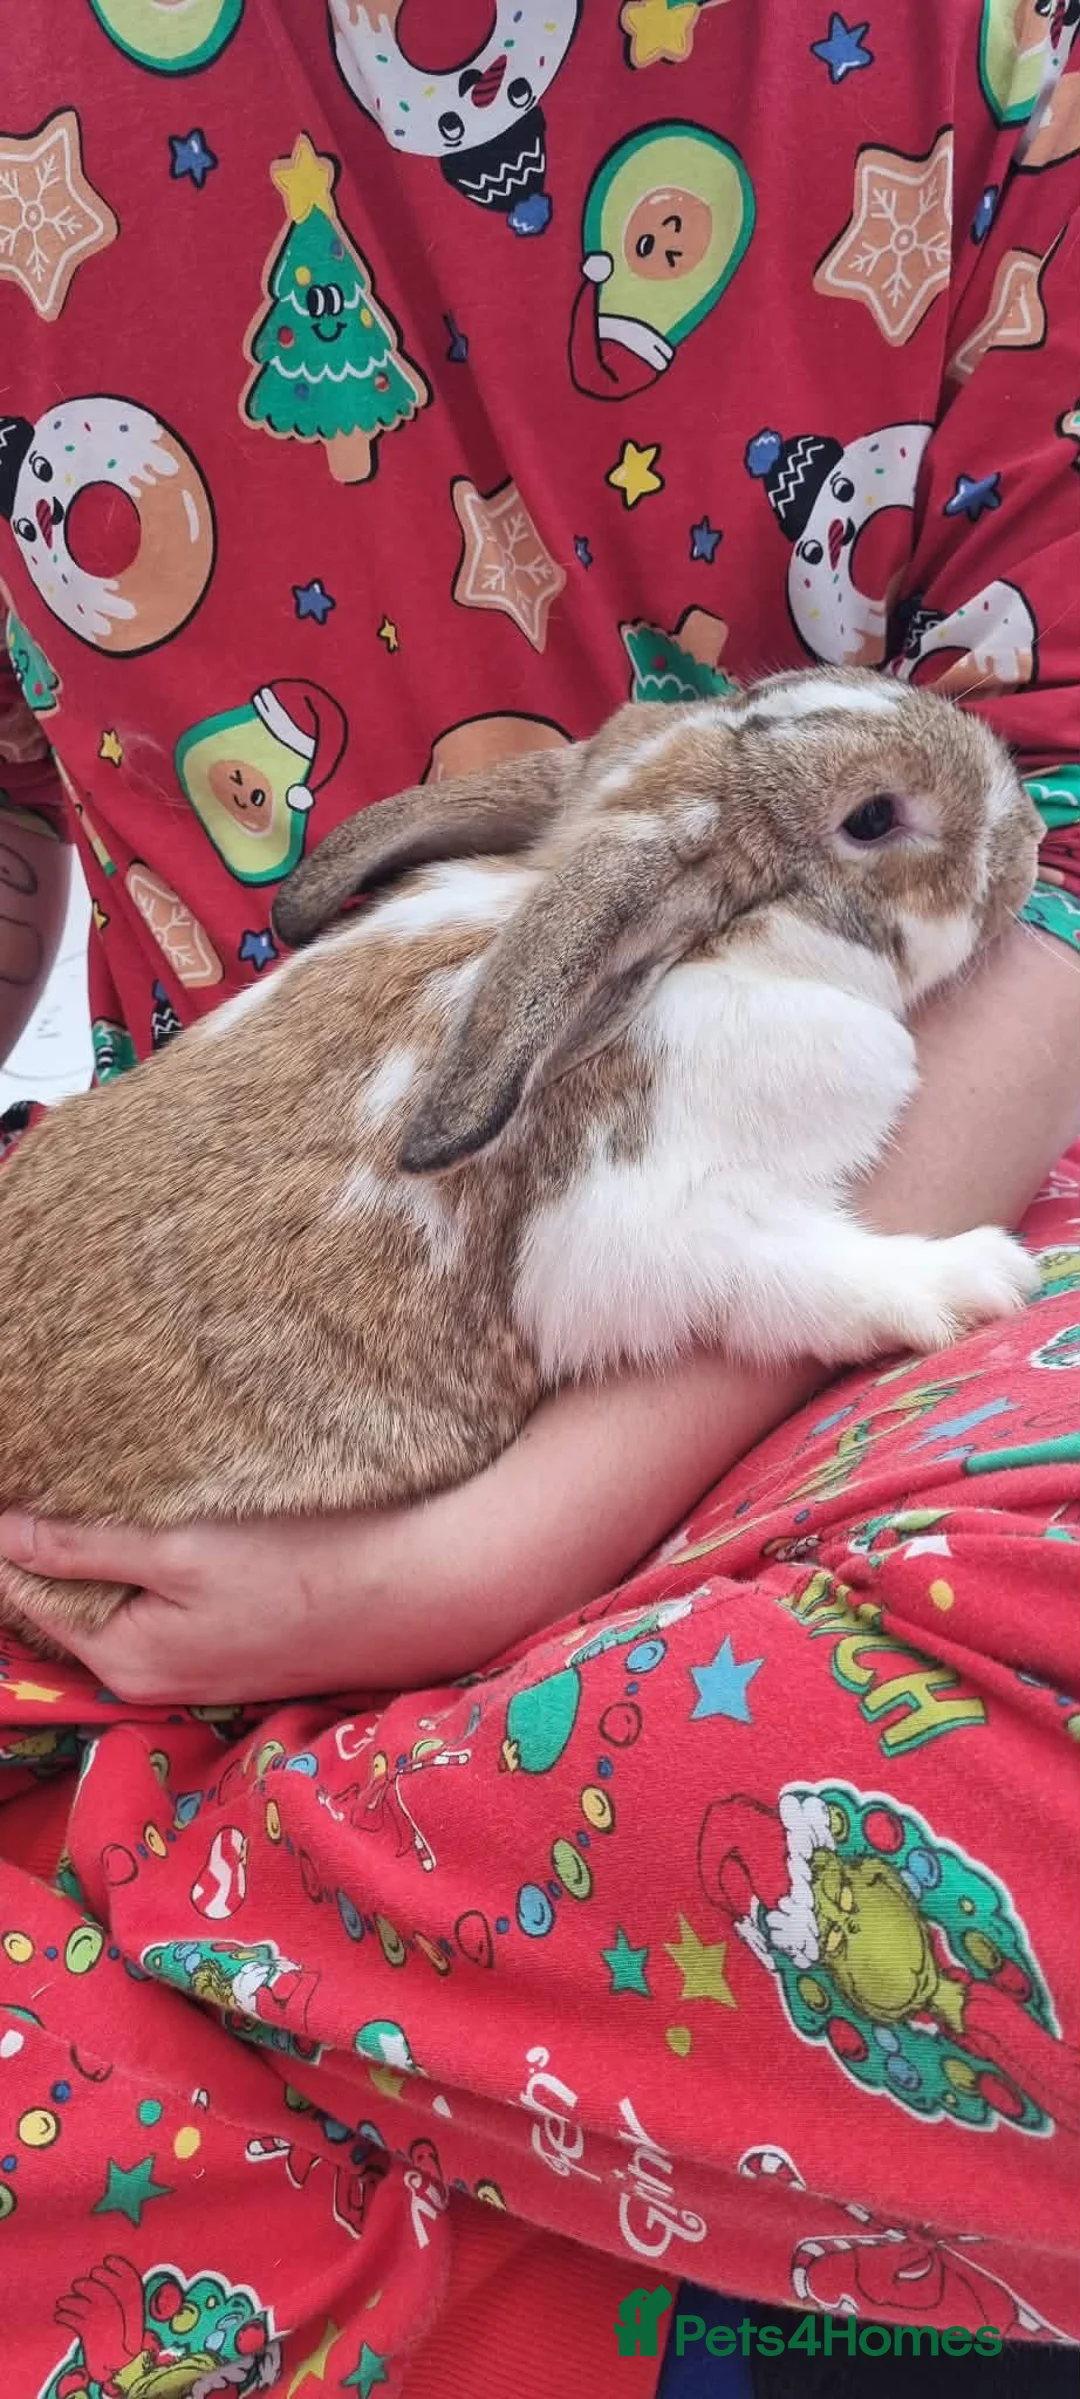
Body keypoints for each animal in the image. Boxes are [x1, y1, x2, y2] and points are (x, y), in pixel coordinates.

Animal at [0, 665, 1043, 1651]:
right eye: (872, 817)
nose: (1033, 836)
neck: (700, 955)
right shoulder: (631, 1230)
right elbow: (805, 1279)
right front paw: (978, 1278)